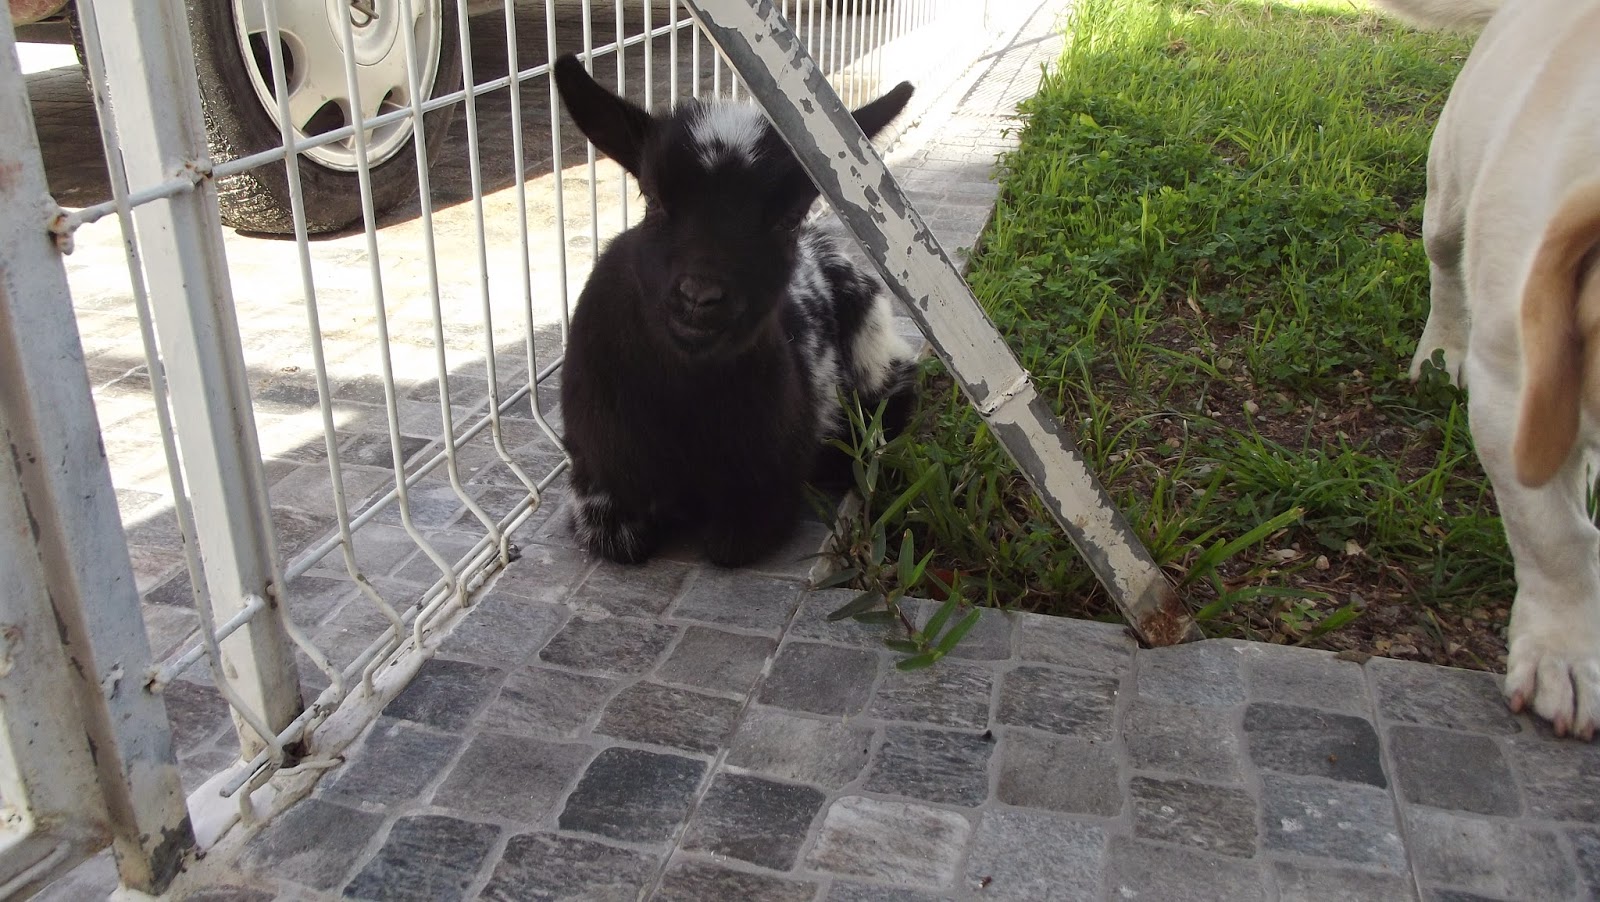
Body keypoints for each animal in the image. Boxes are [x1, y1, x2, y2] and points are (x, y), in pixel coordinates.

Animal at [550, 54, 920, 567]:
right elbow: (624, 544)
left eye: (788, 219)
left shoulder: (765, 489)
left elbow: (731, 547)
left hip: (876, 352)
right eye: (653, 200)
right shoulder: (597, 480)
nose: (699, 297)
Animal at [1376, 0, 1600, 738]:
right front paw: (1564, 657)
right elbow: (1556, 537)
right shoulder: (1512, 395)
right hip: (1448, 195)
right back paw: (1442, 354)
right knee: (1447, 272)